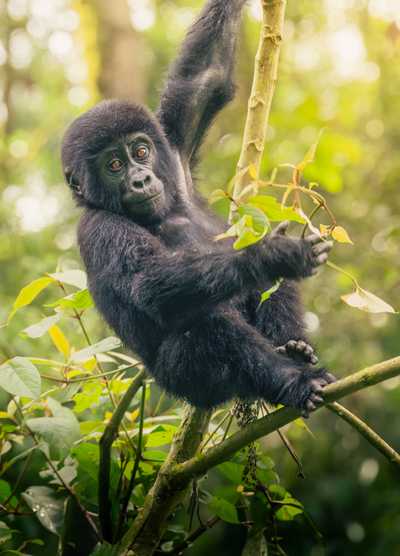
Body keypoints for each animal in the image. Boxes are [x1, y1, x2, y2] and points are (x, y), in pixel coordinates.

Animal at [60, 0, 334, 416]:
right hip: (186, 382)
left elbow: (204, 76)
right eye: (114, 165)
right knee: (206, 323)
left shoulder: (172, 148)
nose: (140, 179)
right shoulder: (97, 227)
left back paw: (295, 348)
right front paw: (271, 255)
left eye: (141, 151)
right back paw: (293, 379)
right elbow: (149, 283)